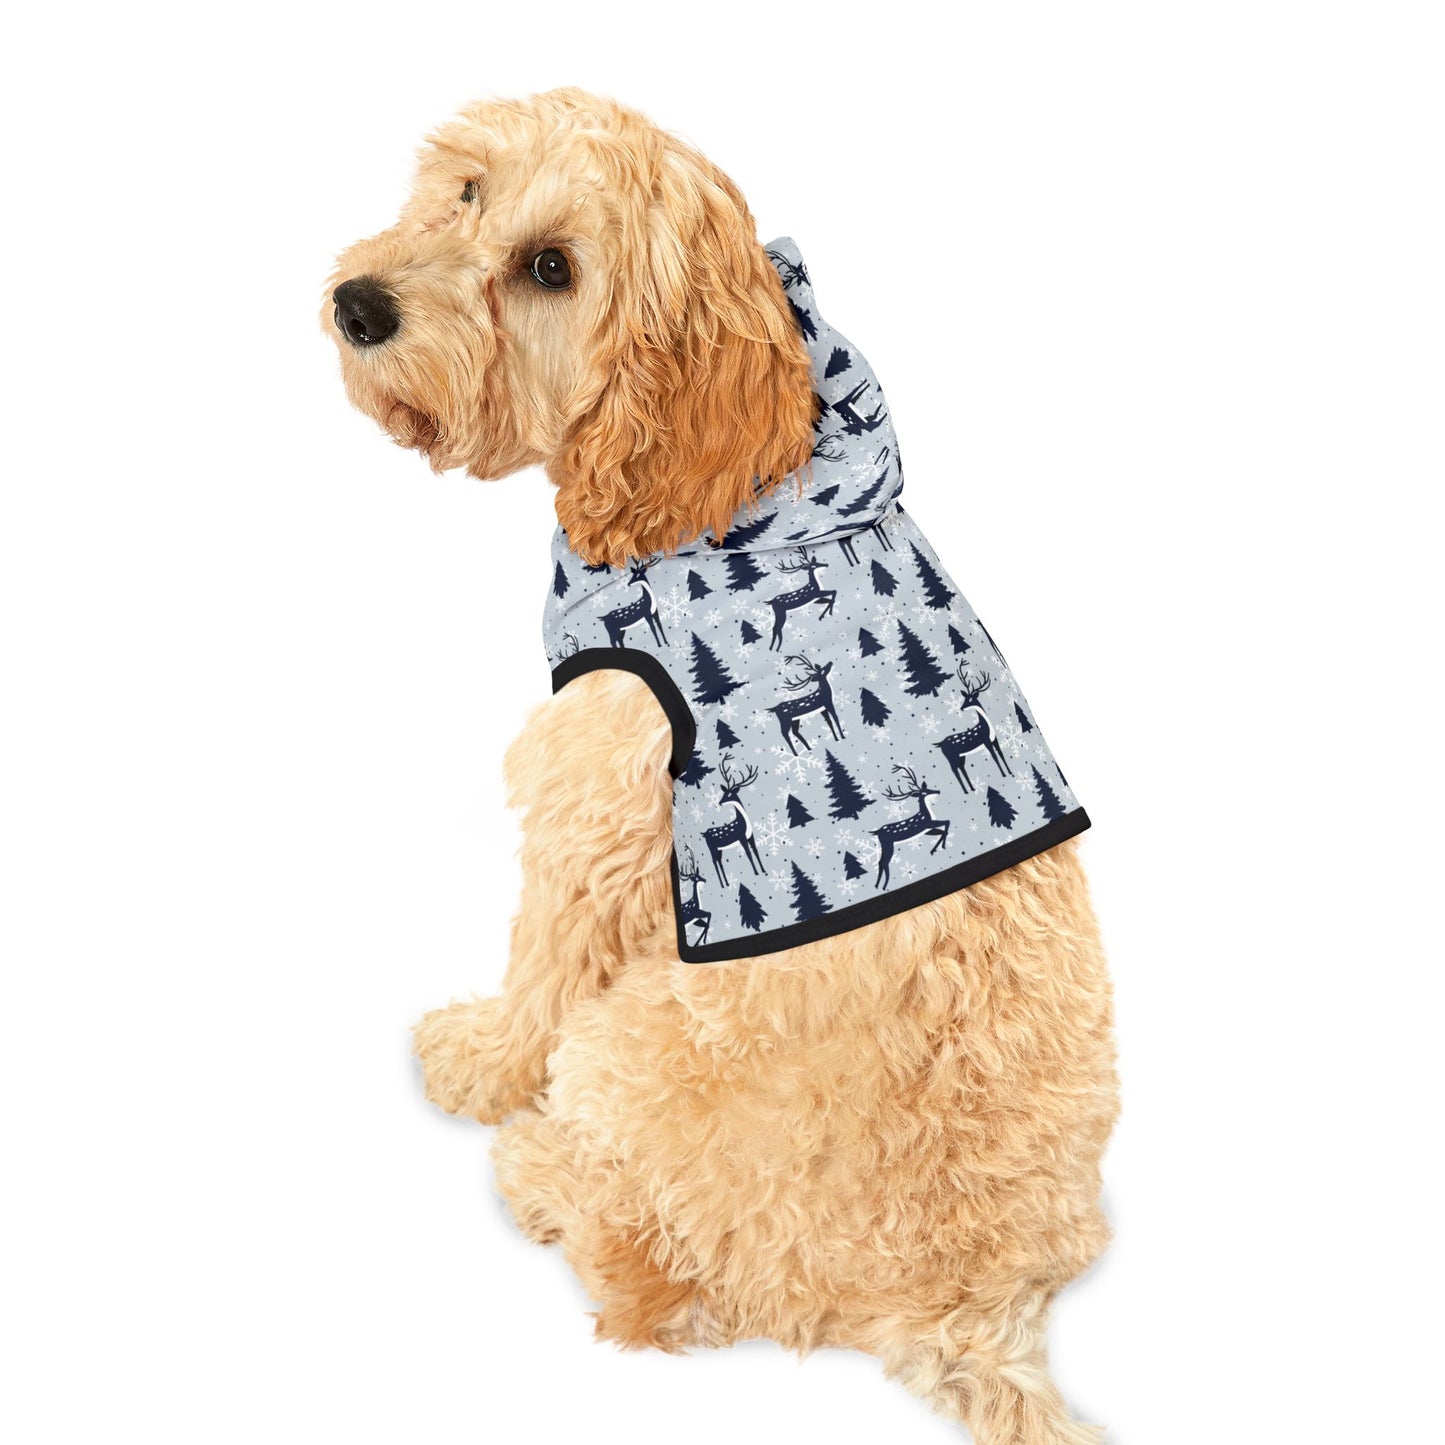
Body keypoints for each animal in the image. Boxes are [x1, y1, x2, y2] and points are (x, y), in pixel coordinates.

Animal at [702, 755, 764, 888]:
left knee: (719, 862)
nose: (720, 802)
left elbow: (755, 851)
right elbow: (748, 853)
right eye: (724, 793)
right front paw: (756, 872)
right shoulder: (741, 837)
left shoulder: (750, 836)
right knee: (714, 862)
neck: (744, 822)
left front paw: (763, 870)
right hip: (712, 848)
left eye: (730, 794)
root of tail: (704, 833)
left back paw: (726, 883)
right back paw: (722, 884)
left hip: (719, 849)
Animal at [934, 665, 1013, 793]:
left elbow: (1000, 754)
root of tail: (940, 743)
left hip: (961, 756)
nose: (961, 708)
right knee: (954, 770)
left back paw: (972, 788)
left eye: (970, 699)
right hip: (951, 757)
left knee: (962, 769)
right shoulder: (986, 740)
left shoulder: (994, 739)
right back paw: (966, 791)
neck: (986, 726)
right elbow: (995, 757)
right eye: (965, 699)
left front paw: (1010, 772)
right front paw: (1004, 774)